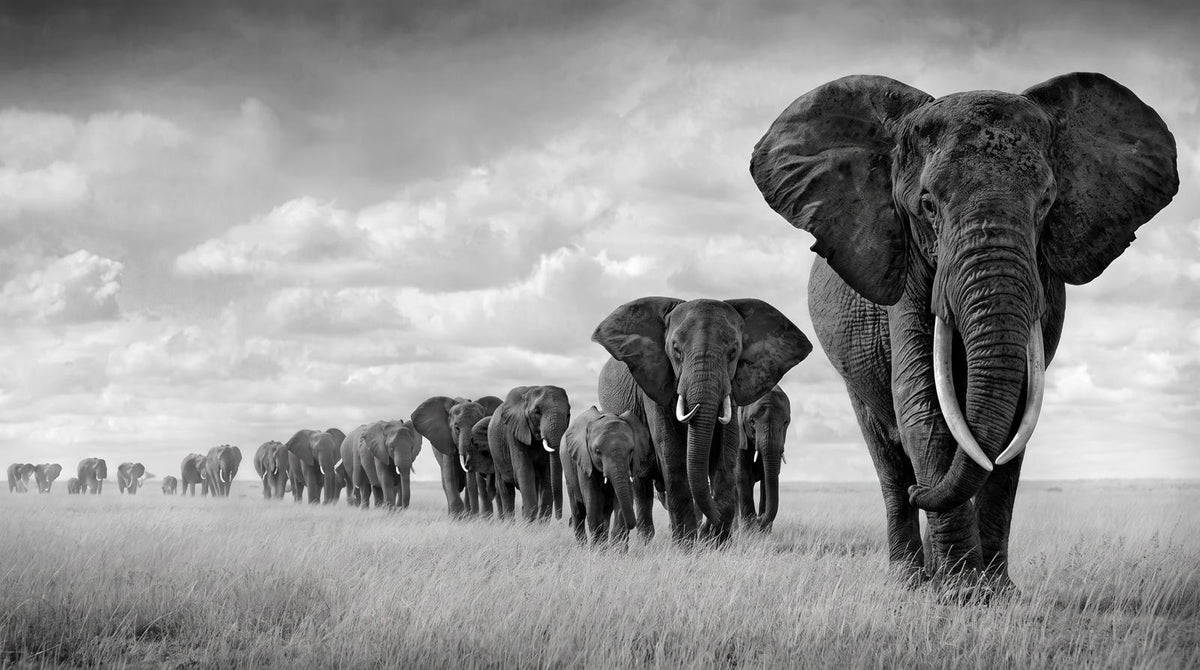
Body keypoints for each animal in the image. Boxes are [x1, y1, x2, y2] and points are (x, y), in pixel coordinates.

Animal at [487, 386, 571, 522]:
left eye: (568, 414)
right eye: (537, 411)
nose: (559, 518)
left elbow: (547, 475)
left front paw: (538, 524)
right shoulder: (515, 433)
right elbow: (524, 471)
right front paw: (529, 523)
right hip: (495, 452)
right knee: (505, 488)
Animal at [562, 406, 655, 546]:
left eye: (631, 450)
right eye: (597, 451)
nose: (634, 524)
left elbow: (621, 504)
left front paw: (617, 549)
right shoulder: (584, 461)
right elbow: (593, 505)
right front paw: (598, 550)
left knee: (605, 513)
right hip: (568, 474)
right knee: (578, 511)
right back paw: (582, 547)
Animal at [735, 385, 791, 532]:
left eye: (786, 422)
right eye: (752, 422)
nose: (759, 518)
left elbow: (766, 475)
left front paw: (762, 533)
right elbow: (742, 473)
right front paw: (749, 530)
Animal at [750, 73, 1177, 592]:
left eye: (1047, 204)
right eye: (928, 204)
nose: (923, 491)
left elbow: (1018, 413)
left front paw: (995, 592)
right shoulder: (907, 264)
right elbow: (921, 402)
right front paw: (960, 591)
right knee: (886, 457)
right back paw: (911, 578)